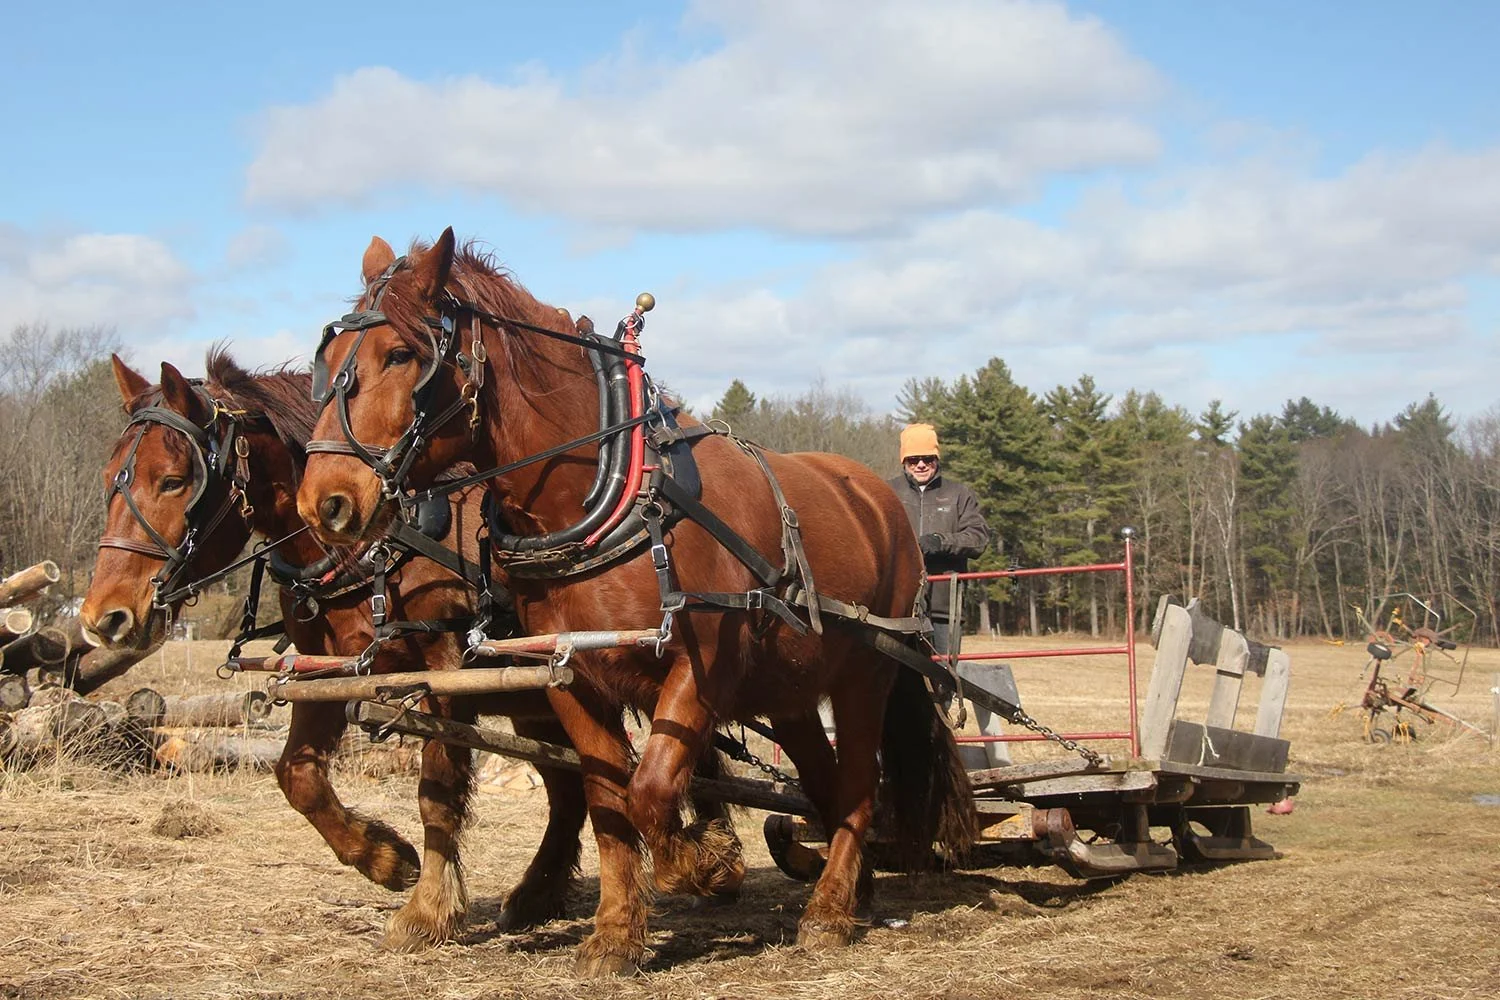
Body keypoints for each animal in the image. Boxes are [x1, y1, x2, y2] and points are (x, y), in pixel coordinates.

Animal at [79, 350, 606, 949]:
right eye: (109, 480)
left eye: (172, 481)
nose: (105, 618)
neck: (372, 546)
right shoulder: (325, 674)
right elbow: (297, 777)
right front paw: (383, 857)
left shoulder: (445, 672)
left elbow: (437, 790)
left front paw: (427, 910)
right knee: (568, 786)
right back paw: (538, 894)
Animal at [295, 229, 975, 975]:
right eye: (330, 363)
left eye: (401, 354)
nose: (324, 501)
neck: (615, 494)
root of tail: (881, 502)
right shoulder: (568, 677)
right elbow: (607, 801)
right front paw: (617, 933)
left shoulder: (701, 675)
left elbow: (651, 790)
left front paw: (709, 864)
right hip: (792, 692)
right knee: (824, 782)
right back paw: (854, 891)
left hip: (865, 676)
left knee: (856, 784)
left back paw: (827, 911)